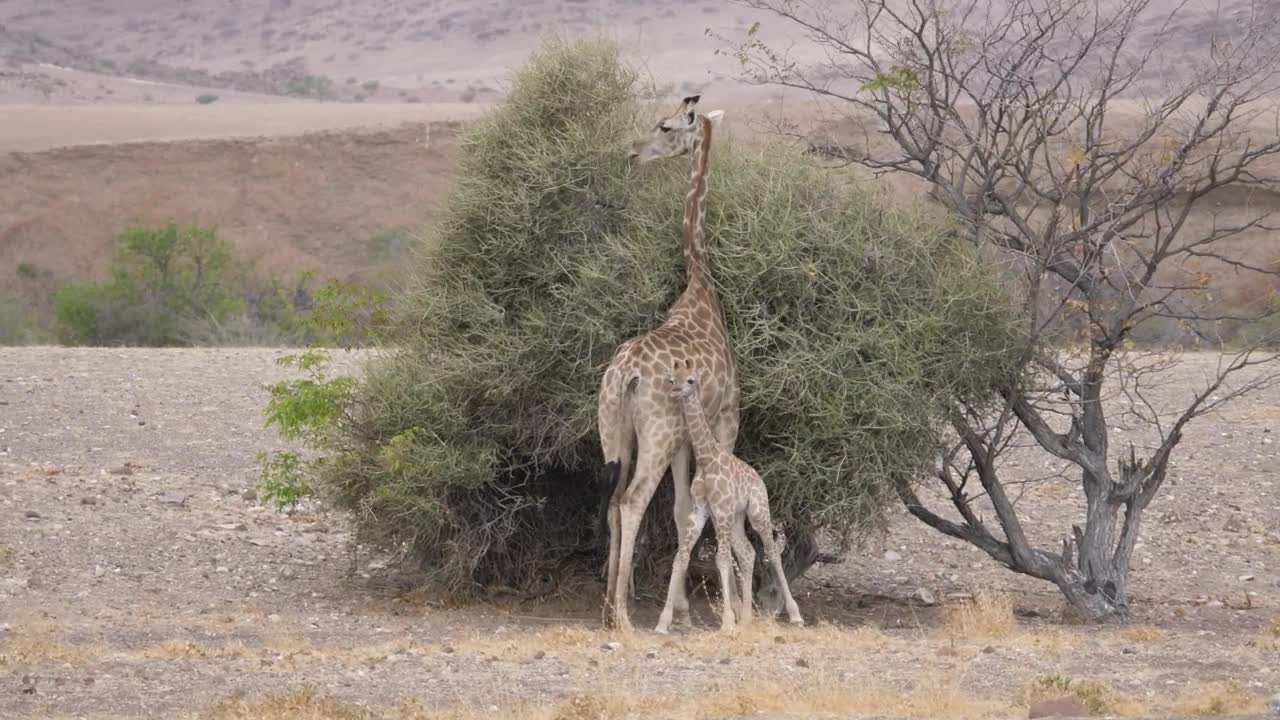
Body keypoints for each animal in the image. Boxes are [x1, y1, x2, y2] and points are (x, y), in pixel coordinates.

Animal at [599, 95, 742, 627]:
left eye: (664, 126)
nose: (633, 151)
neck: (700, 284)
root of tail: (626, 374)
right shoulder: (725, 417)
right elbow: (706, 510)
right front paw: (721, 609)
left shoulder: (684, 438)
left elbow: (683, 511)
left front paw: (679, 608)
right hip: (655, 434)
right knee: (632, 500)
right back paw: (623, 616)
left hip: (614, 430)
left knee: (613, 500)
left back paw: (609, 604)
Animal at [660, 361, 798, 630]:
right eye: (672, 379)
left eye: (690, 380)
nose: (675, 391)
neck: (705, 457)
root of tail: (760, 480)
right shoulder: (701, 510)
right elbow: (681, 556)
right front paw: (663, 622)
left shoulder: (720, 509)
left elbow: (721, 559)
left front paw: (726, 622)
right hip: (736, 517)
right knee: (748, 552)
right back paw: (746, 618)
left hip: (758, 511)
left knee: (771, 551)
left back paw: (795, 614)